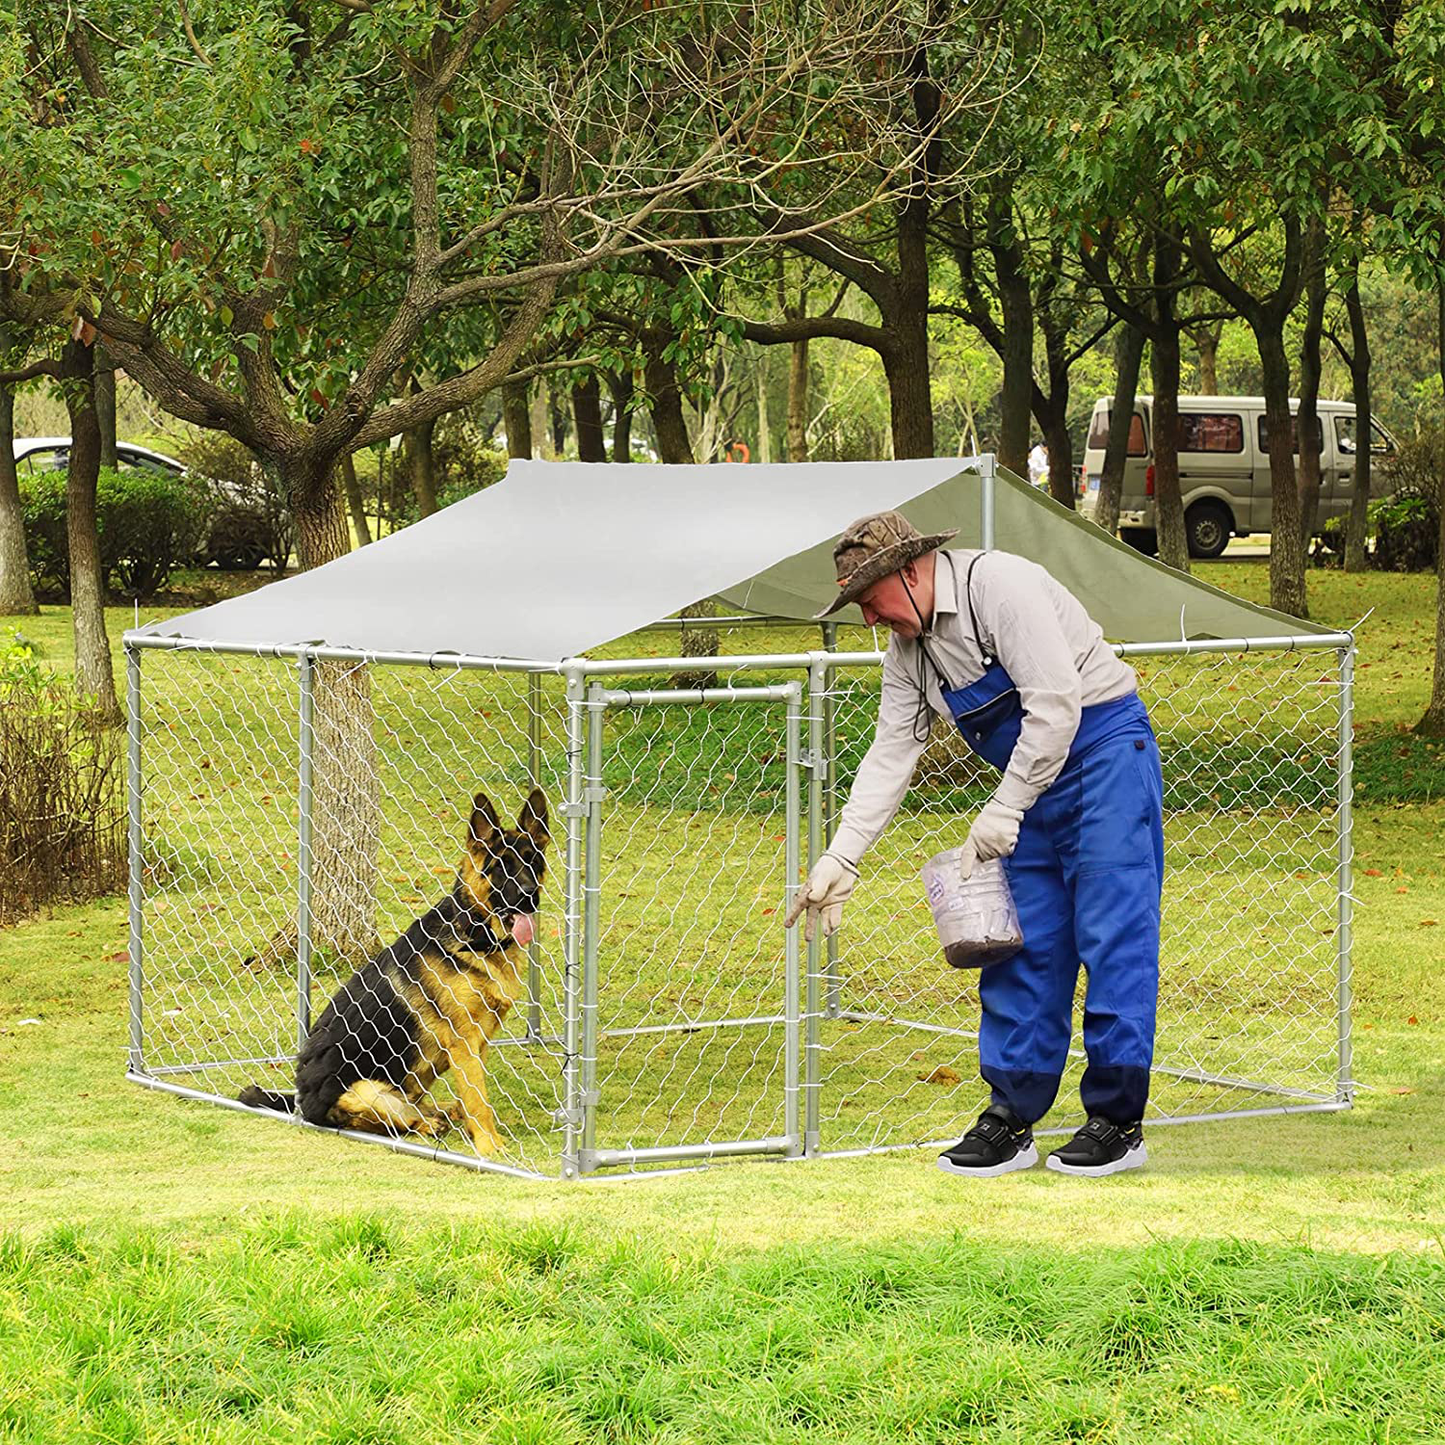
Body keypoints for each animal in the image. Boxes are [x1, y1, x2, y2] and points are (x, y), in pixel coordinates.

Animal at [242, 786, 546, 1156]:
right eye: (501, 867)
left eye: (533, 861)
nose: (530, 897)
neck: (475, 934)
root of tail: (300, 1101)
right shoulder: (464, 1041)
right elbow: (477, 1099)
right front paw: (489, 1146)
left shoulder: (480, 1041)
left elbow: (474, 1094)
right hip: (366, 1091)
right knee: (376, 1121)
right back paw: (428, 1122)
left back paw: (441, 1112)